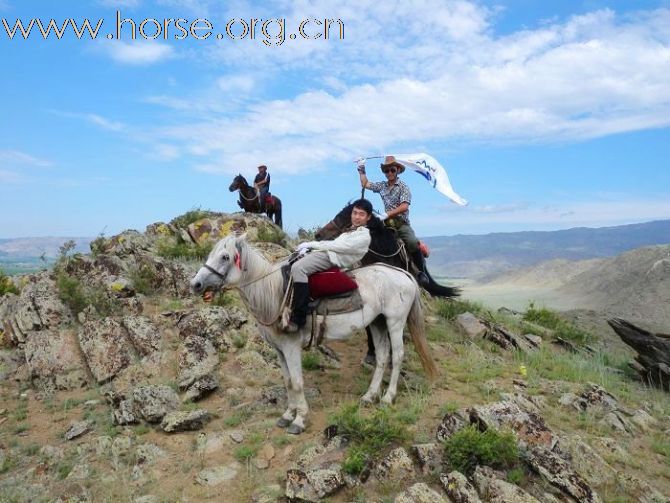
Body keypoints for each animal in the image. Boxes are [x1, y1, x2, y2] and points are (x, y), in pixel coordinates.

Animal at [190, 234, 440, 436]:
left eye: (224, 257)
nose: (195, 284)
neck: (273, 293)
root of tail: (403, 273)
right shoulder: (279, 349)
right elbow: (288, 381)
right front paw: (288, 414)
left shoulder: (291, 346)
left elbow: (298, 382)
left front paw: (299, 420)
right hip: (377, 323)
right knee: (381, 357)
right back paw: (370, 396)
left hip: (395, 322)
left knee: (397, 356)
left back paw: (388, 398)